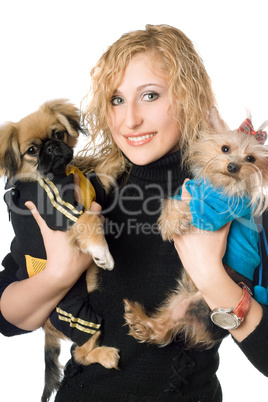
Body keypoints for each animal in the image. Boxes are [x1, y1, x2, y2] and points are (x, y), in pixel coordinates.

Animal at [0, 99, 119, 400]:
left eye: (58, 135)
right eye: (32, 150)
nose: (52, 147)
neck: (58, 175)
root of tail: (45, 328)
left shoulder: (92, 190)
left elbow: (104, 170)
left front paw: (120, 155)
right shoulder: (66, 214)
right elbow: (90, 221)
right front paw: (102, 252)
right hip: (81, 317)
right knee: (80, 354)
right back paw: (106, 355)